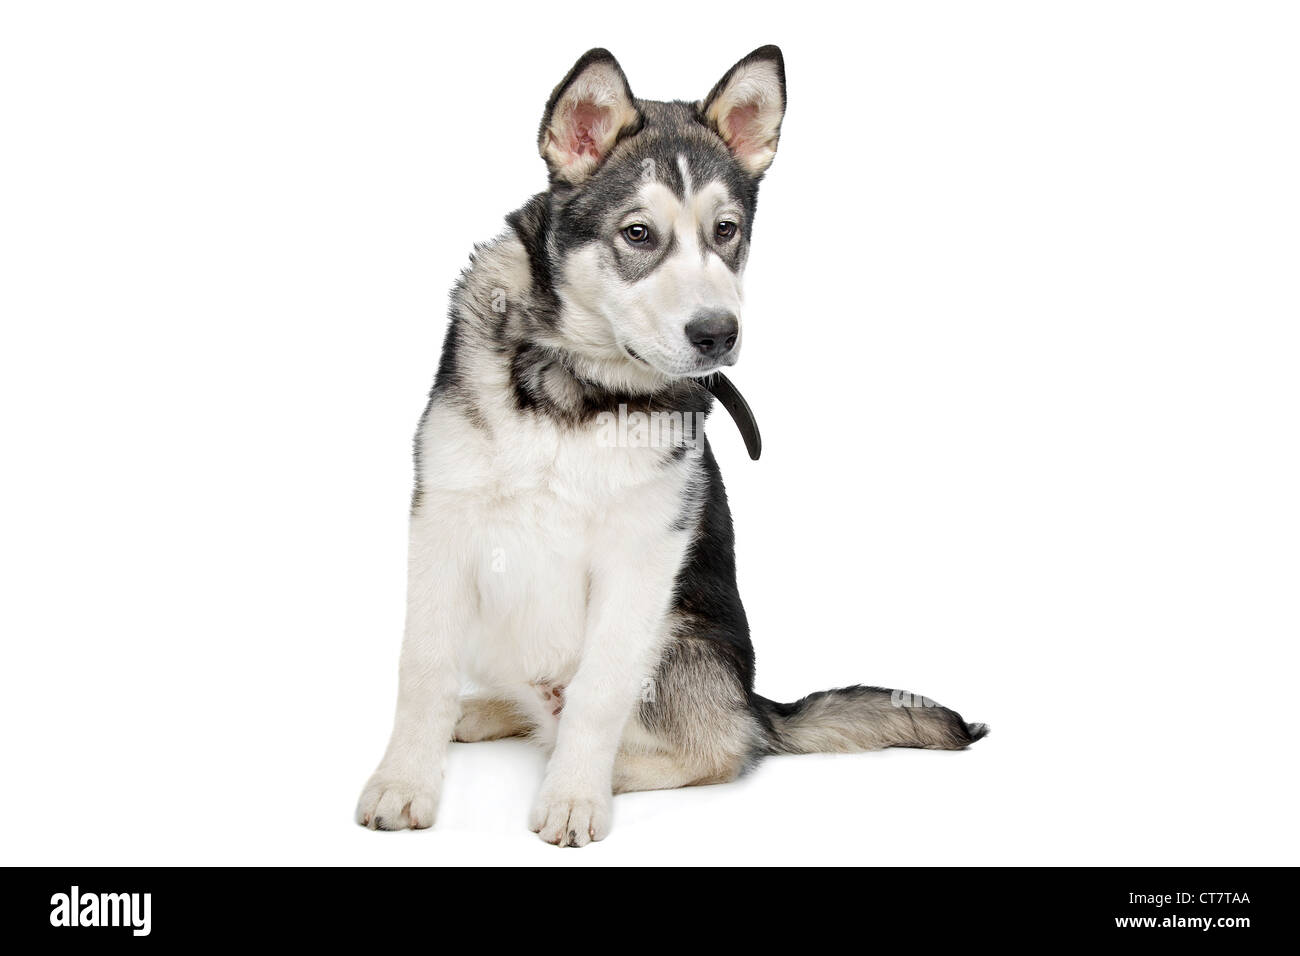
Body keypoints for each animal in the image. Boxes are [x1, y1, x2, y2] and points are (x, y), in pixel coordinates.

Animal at [356, 46, 982, 842]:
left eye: (727, 230)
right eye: (638, 234)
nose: (718, 333)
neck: (580, 383)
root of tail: (755, 702)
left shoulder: (643, 552)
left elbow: (599, 694)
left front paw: (574, 795)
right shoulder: (443, 517)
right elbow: (423, 668)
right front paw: (404, 780)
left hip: (681, 644)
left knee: (717, 748)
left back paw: (597, 768)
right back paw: (491, 713)